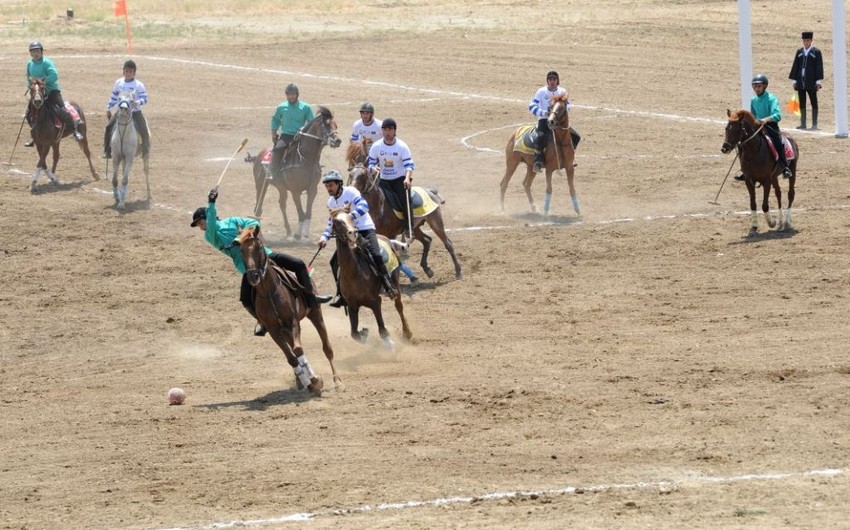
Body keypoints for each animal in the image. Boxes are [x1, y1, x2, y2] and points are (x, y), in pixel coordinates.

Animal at [235, 224, 342, 392]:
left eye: (259, 247)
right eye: (241, 250)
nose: (253, 276)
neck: (269, 292)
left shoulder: (293, 322)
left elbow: (298, 350)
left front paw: (315, 379)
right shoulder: (274, 330)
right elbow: (292, 357)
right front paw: (308, 380)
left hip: (315, 313)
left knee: (327, 348)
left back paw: (337, 381)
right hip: (285, 331)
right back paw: (302, 381)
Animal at [252, 106, 342, 238]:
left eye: (335, 125)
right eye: (326, 124)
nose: (338, 140)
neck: (305, 159)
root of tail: (259, 155)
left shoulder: (312, 190)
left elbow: (308, 213)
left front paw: (306, 234)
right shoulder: (296, 191)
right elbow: (301, 213)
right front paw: (298, 235)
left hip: (281, 188)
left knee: (282, 204)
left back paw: (288, 230)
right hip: (261, 185)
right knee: (258, 209)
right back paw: (260, 235)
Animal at [328, 204, 410, 348]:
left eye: (351, 217)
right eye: (336, 221)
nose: (353, 233)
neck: (354, 274)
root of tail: (387, 239)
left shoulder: (375, 301)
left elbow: (382, 328)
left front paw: (389, 343)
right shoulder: (352, 305)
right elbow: (354, 334)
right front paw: (364, 332)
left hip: (395, 283)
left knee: (399, 306)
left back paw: (407, 333)